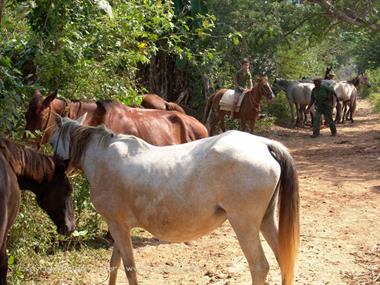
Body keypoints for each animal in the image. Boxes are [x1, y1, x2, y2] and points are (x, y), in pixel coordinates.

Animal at [50, 115, 300, 284]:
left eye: (52, 141)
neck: (103, 159)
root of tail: (263, 144)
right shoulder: (118, 227)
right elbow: (115, 264)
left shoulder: (117, 226)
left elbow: (129, 268)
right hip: (266, 220)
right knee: (283, 259)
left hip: (244, 224)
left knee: (259, 267)